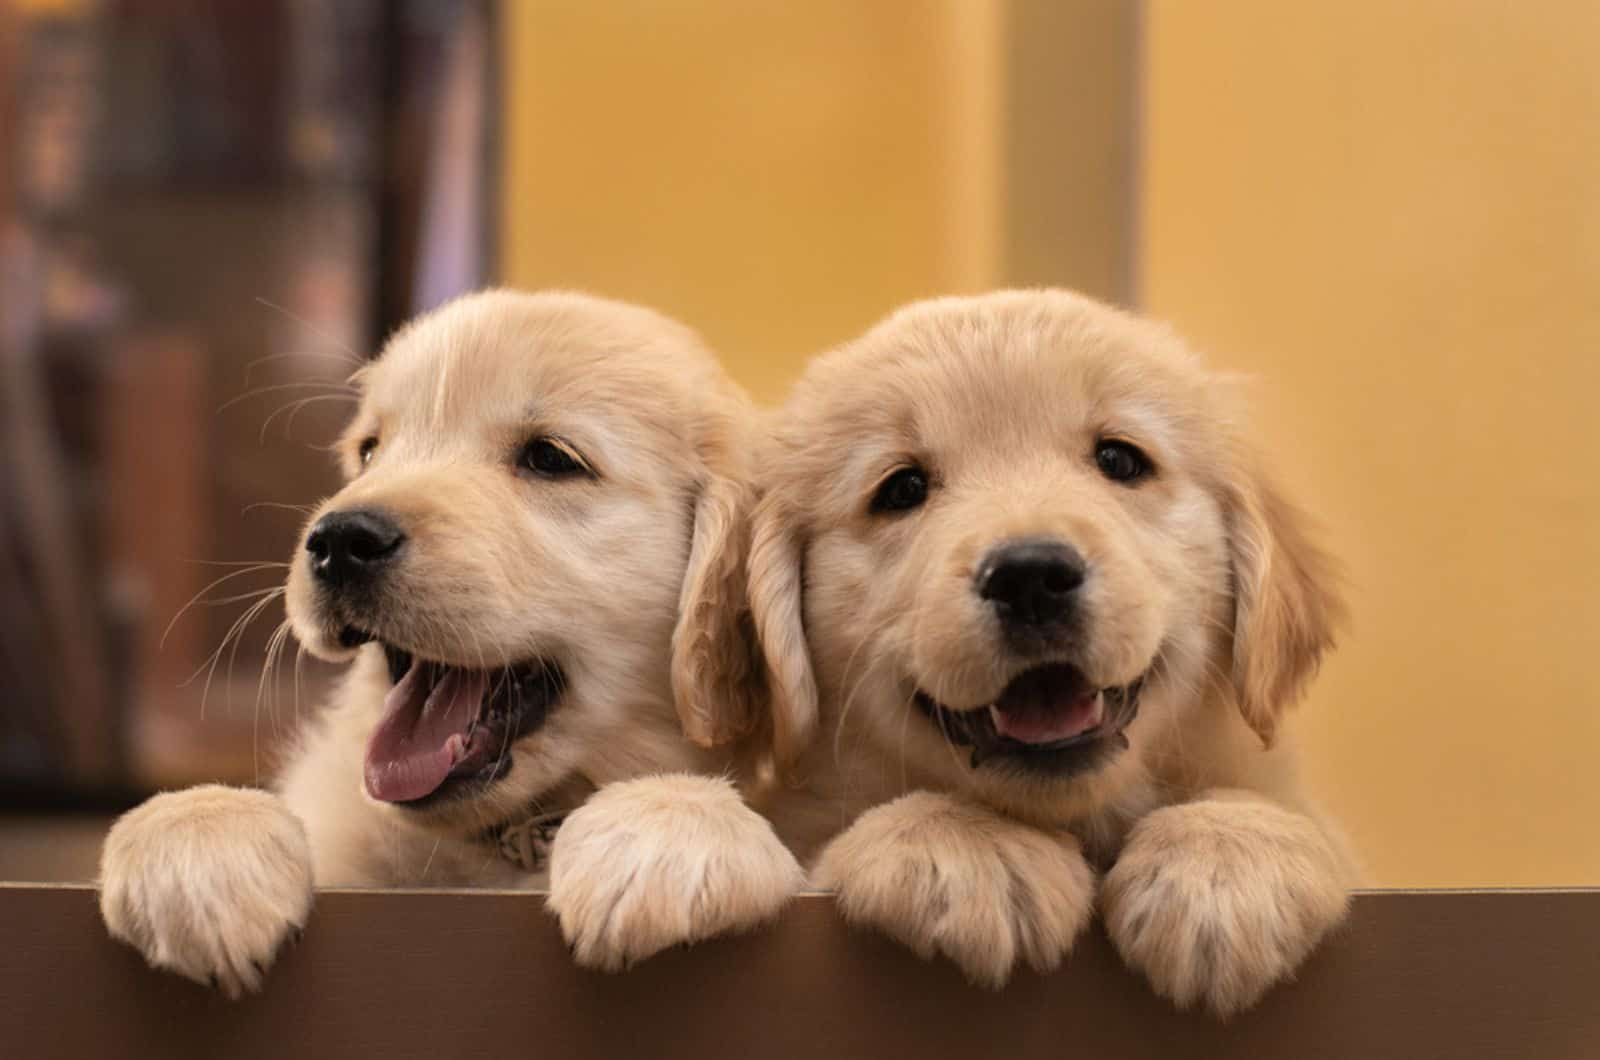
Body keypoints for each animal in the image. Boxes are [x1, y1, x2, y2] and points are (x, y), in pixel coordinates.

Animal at [98, 288, 800, 999]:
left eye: (551, 458)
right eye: (370, 452)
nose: (338, 540)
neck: (500, 840)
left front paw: (662, 829)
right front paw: (197, 839)